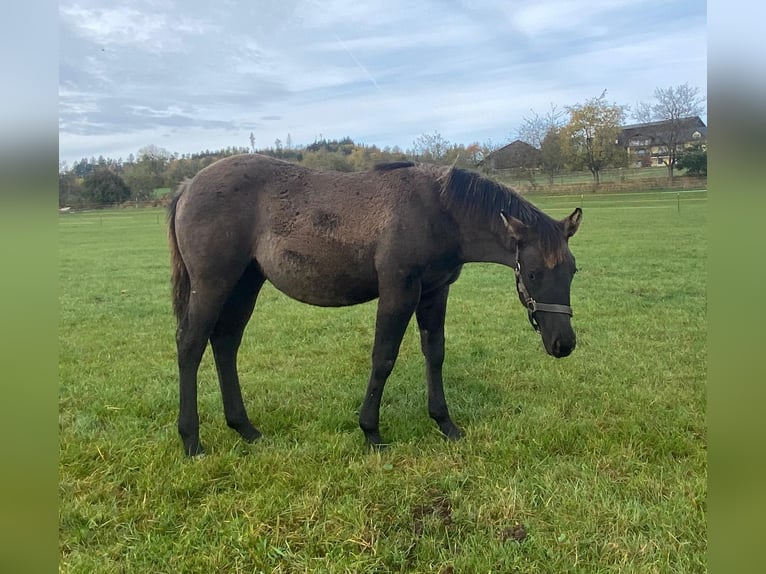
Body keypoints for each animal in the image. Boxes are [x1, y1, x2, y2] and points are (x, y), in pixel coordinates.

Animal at [168, 154, 584, 460]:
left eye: (573, 270)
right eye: (533, 273)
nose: (563, 344)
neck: (438, 210)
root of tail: (188, 187)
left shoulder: (435, 293)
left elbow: (435, 354)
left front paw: (445, 423)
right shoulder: (398, 290)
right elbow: (383, 357)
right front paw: (371, 432)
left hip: (245, 284)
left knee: (225, 344)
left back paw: (245, 429)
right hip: (213, 285)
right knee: (190, 344)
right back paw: (191, 441)